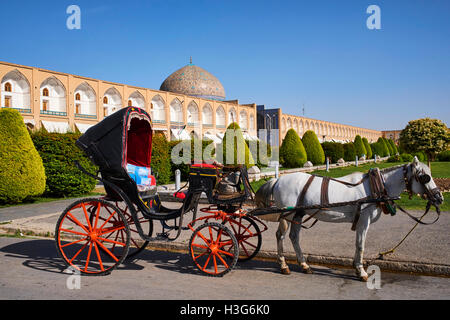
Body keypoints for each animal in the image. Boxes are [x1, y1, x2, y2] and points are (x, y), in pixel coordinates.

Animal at [255, 159, 444, 282]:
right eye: (425, 177)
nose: (439, 198)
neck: (375, 188)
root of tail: (278, 179)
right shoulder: (363, 220)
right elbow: (360, 244)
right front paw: (361, 271)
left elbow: (359, 244)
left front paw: (356, 267)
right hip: (287, 214)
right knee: (280, 235)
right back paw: (283, 265)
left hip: (298, 214)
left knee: (294, 237)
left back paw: (304, 265)